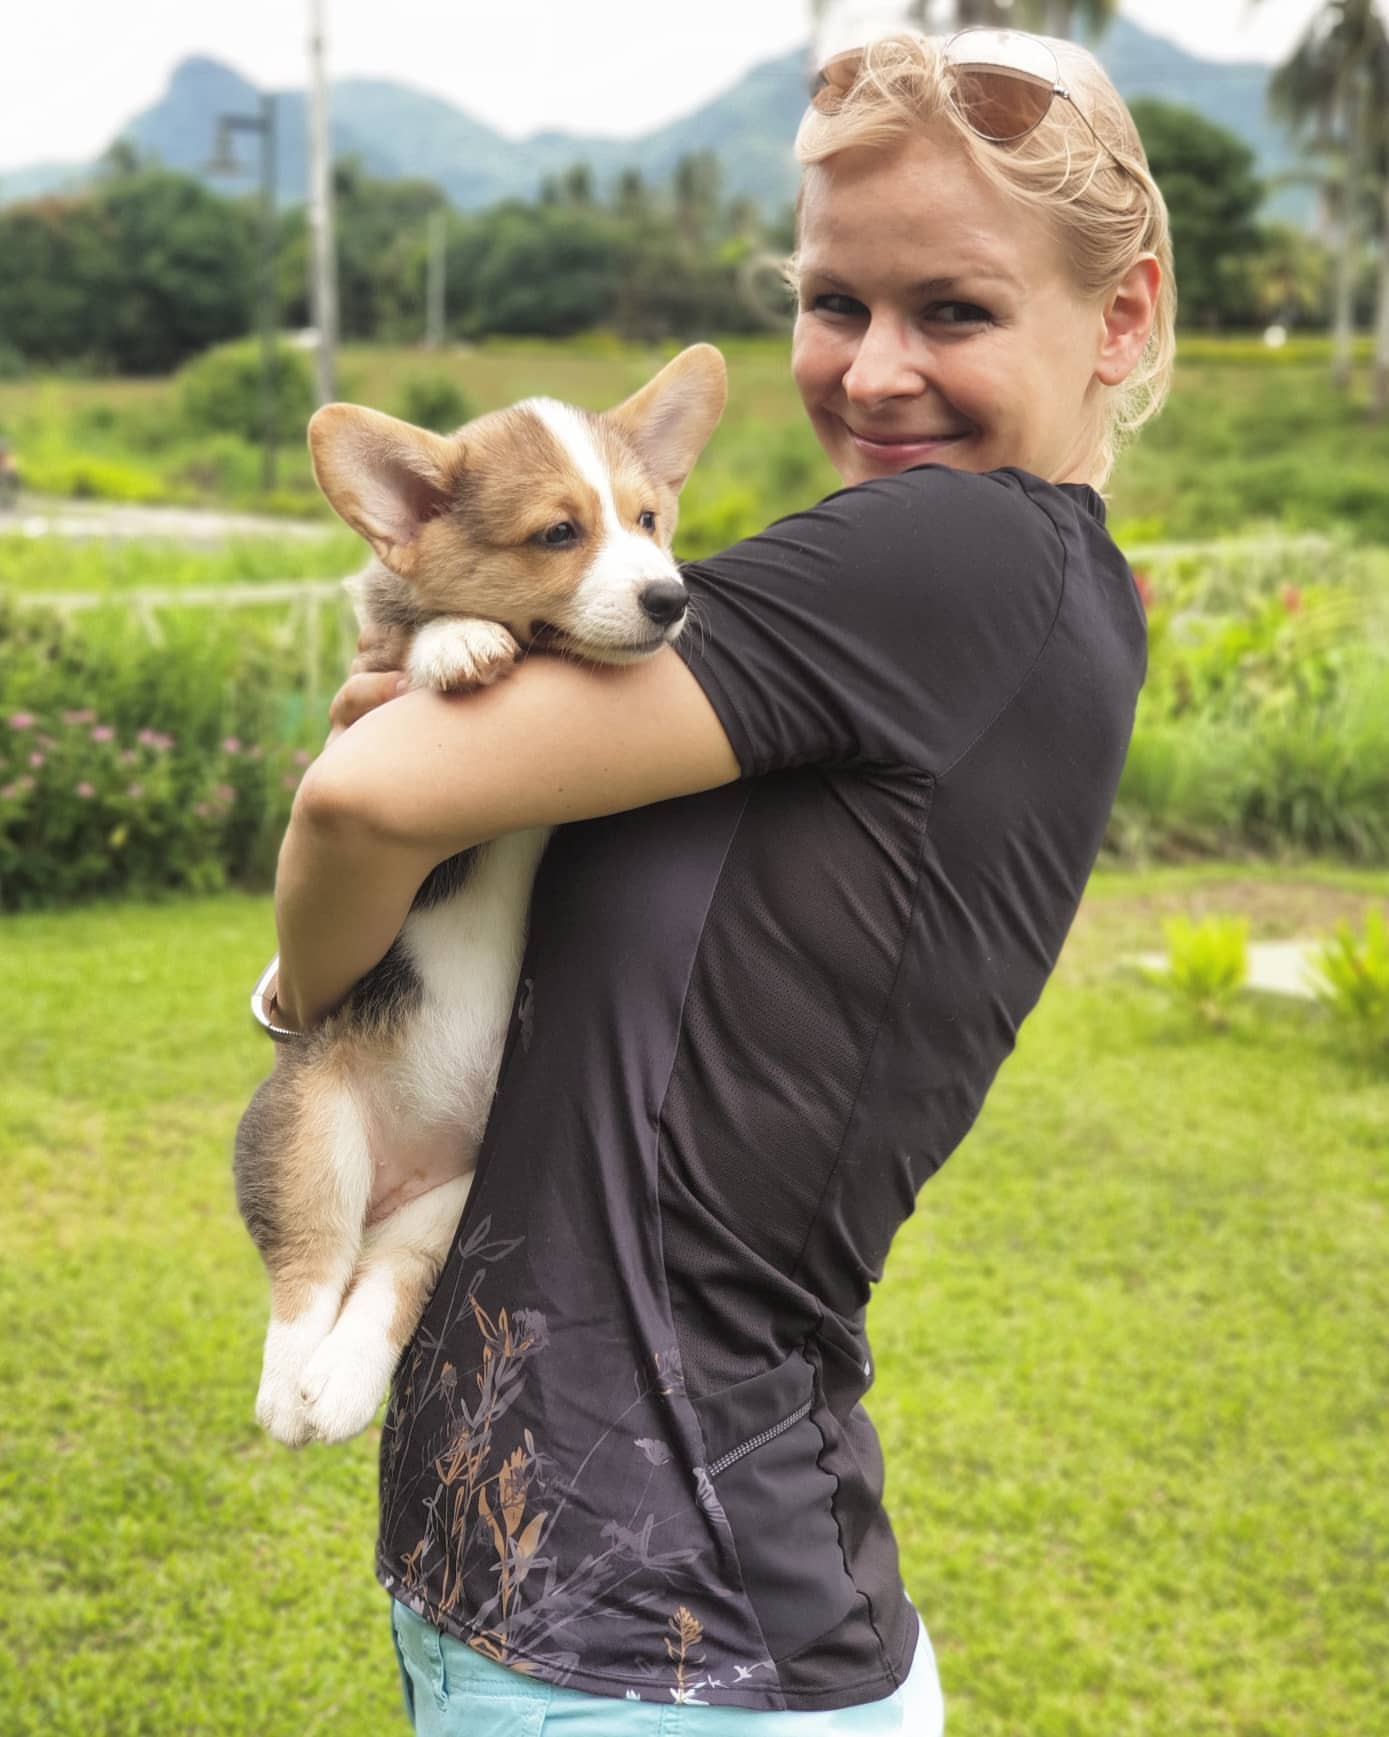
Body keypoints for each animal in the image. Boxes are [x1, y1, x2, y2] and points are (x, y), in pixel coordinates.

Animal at [230, 345, 725, 1445]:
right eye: (558, 533)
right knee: (309, 1267)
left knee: (385, 1280)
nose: (670, 598)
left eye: (649, 520)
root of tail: (397, 1179)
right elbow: (418, 638)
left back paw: (340, 1385)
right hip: (310, 1134)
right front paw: (457, 641)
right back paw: (290, 1389)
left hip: (454, 1205)